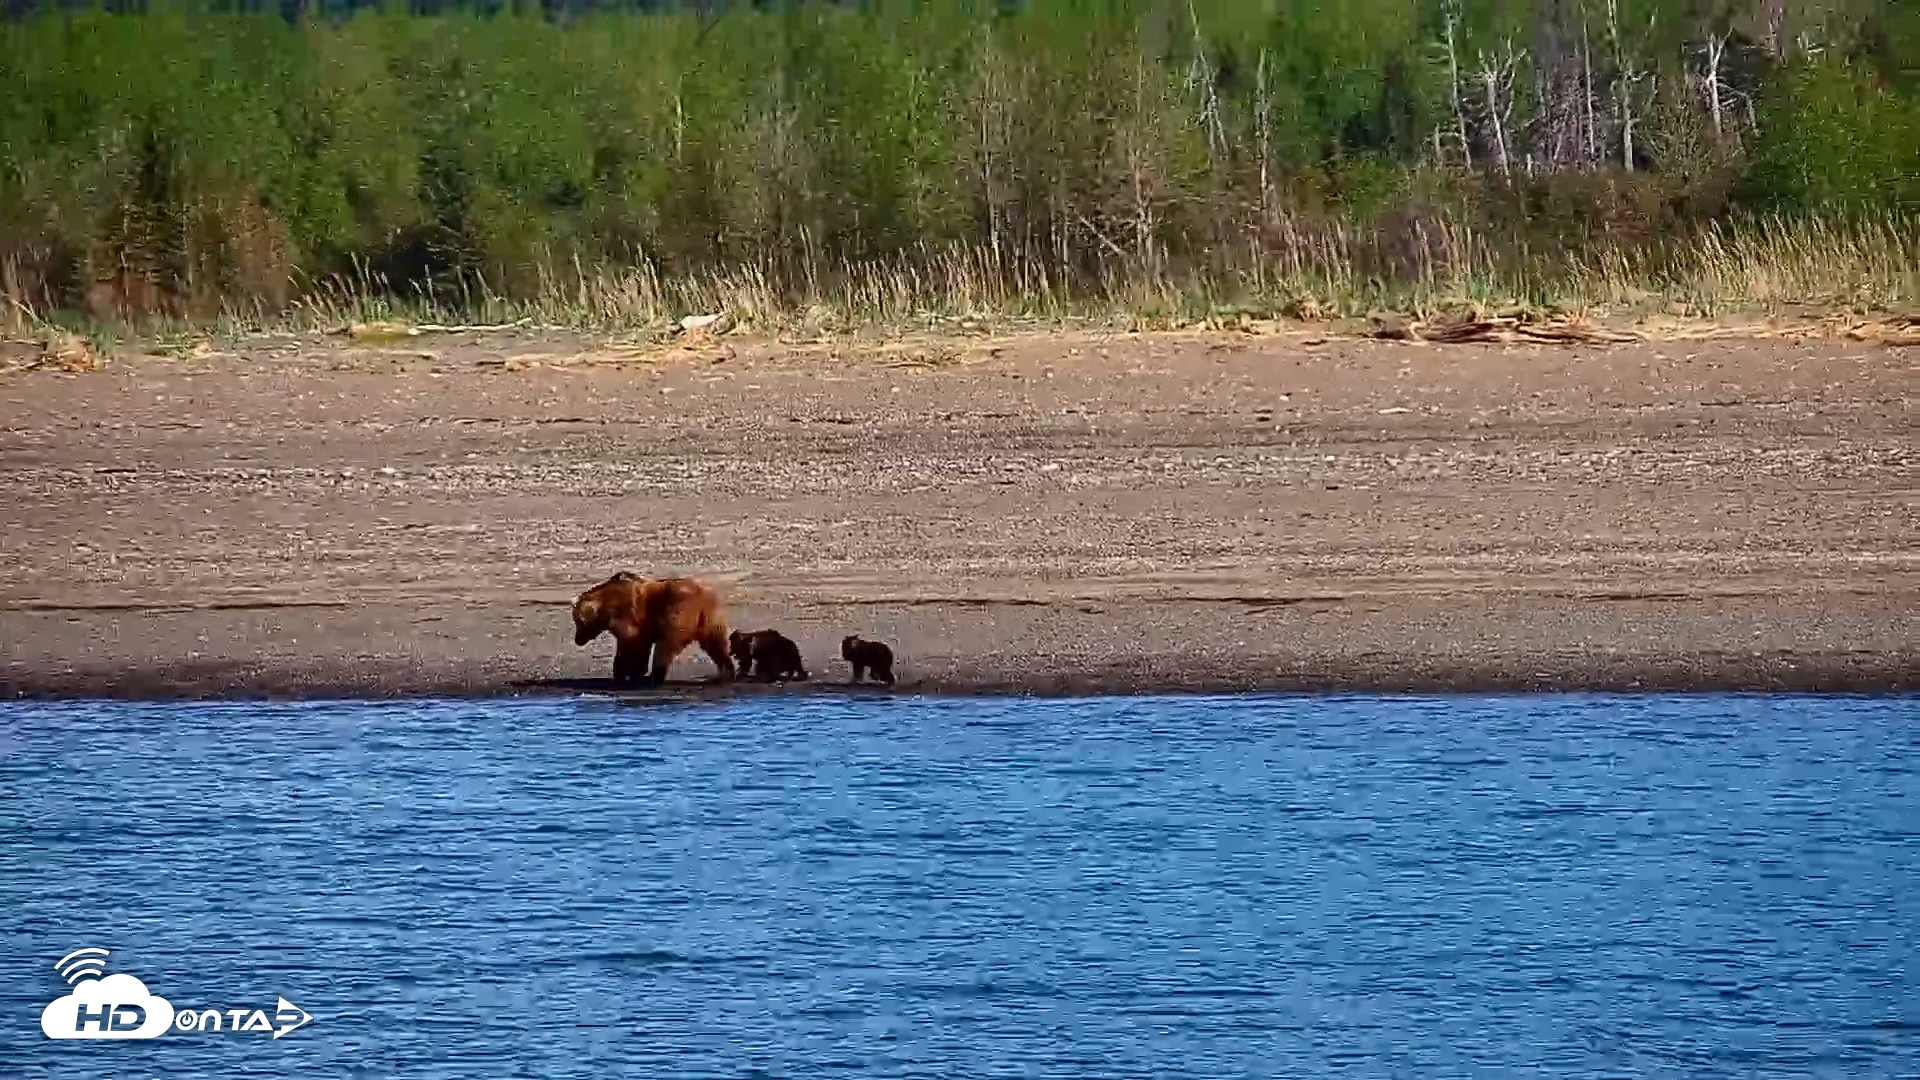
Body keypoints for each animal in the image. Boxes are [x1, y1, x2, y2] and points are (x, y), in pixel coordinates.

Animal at [571, 571, 735, 687]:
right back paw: (727, 672)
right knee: (716, 645)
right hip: (710, 620)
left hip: (677, 613)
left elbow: (631, 643)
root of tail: (703, 597)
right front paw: (632, 674)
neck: (606, 607)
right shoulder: (643, 625)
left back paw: (655, 677)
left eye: (578, 621)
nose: (577, 640)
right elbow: (639, 645)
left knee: (665, 647)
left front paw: (625, 675)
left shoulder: (628, 617)